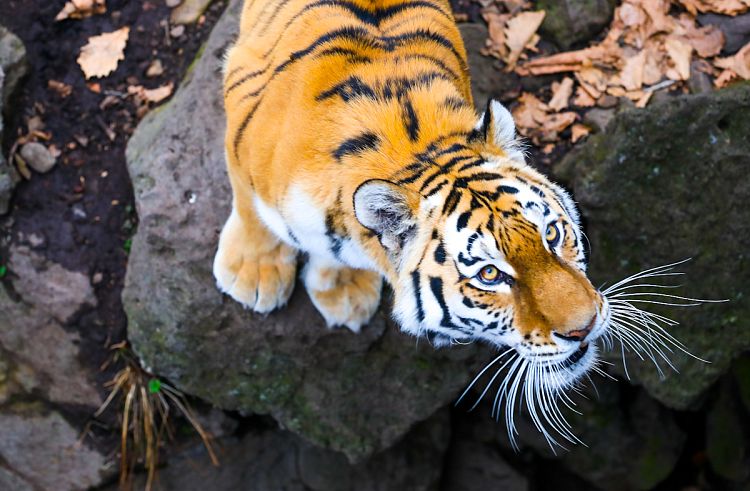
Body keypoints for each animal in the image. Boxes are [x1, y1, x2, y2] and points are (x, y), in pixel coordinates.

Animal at [212, 0, 612, 398]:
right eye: (489, 274)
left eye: (552, 235)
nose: (585, 326)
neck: (418, 150)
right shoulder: (239, 111)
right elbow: (251, 210)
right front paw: (254, 273)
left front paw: (345, 292)